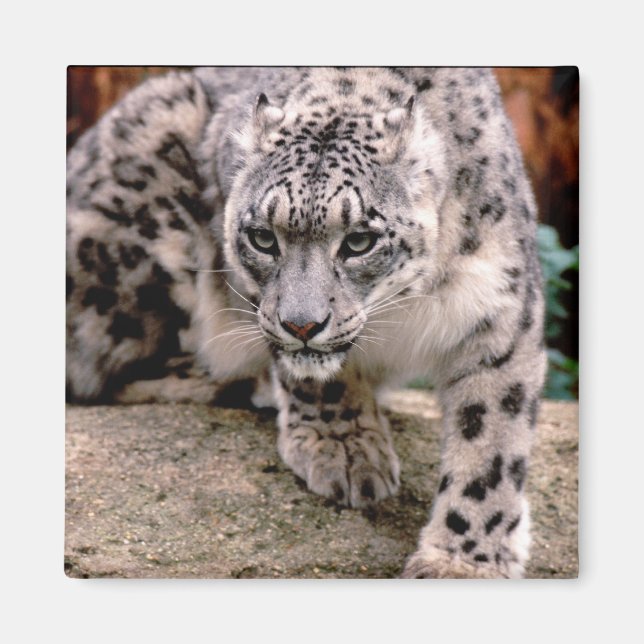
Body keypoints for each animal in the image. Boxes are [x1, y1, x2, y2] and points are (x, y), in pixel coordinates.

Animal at [66, 67, 546, 578]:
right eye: (262, 238)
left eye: (359, 241)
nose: (300, 325)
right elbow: (316, 379)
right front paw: (344, 449)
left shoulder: (502, 306)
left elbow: (491, 439)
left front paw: (463, 561)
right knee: (105, 373)